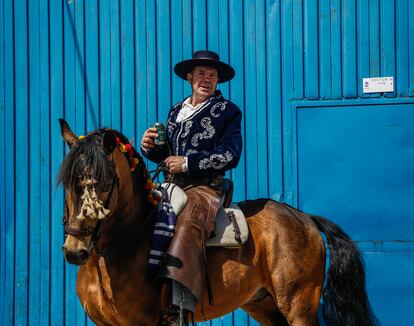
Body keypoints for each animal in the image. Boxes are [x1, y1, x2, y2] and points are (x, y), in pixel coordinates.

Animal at [57, 118, 378, 326]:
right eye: (68, 183)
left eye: (106, 184)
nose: (75, 251)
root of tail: (305, 218)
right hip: (263, 304)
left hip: (299, 306)